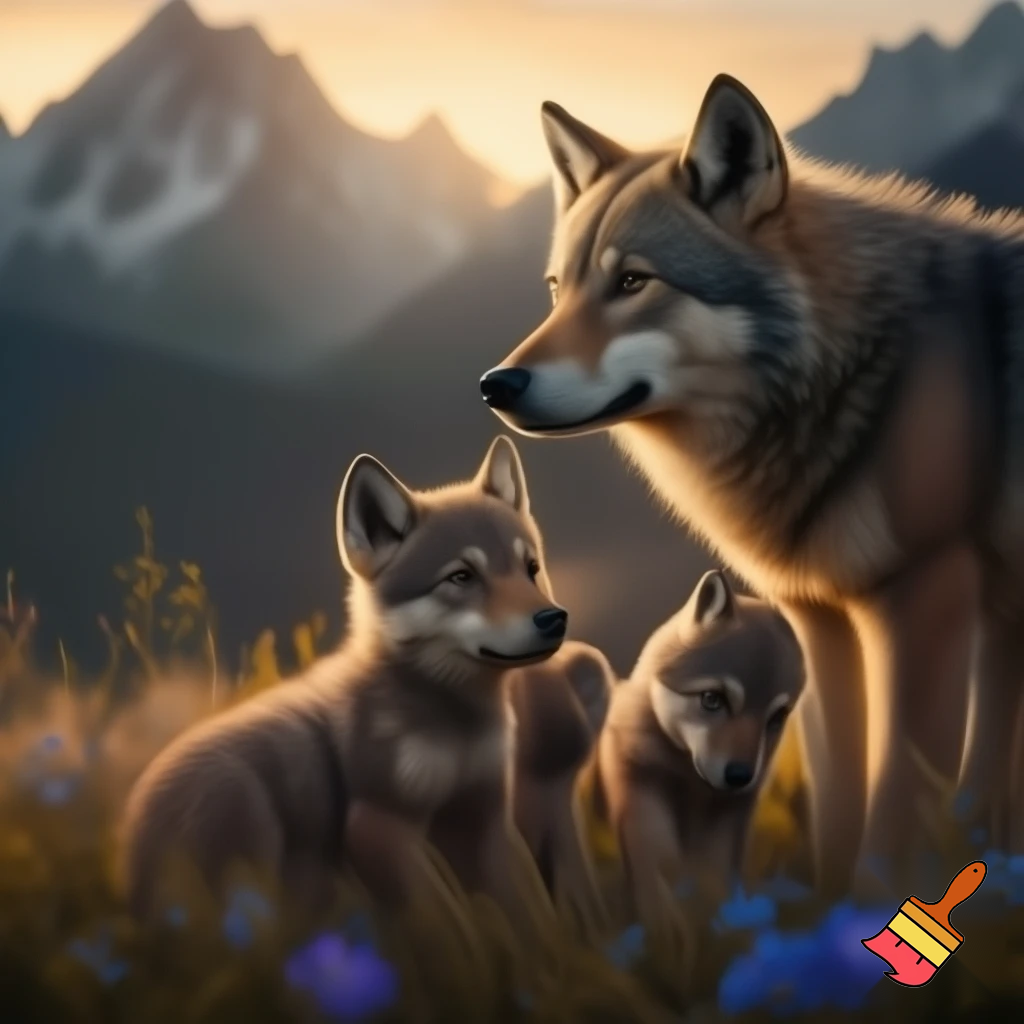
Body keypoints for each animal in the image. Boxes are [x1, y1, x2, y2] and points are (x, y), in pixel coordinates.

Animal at [119, 436, 568, 932]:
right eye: (461, 577)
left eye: (531, 568)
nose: (554, 618)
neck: (455, 722)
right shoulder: (377, 827)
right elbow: (451, 928)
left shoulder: (482, 823)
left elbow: (534, 924)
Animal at [595, 569, 805, 925]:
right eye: (712, 699)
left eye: (776, 718)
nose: (740, 775)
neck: (687, 778)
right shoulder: (639, 793)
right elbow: (655, 873)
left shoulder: (729, 821)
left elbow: (714, 882)